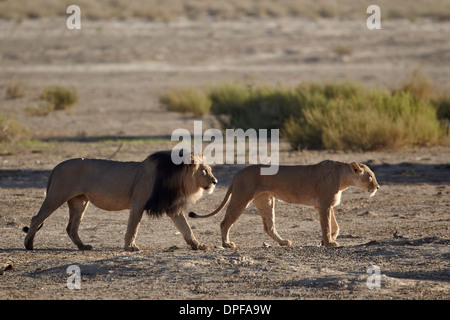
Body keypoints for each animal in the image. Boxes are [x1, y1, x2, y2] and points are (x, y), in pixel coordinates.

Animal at [24, 151, 218, 252]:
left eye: (209, 170)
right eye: (205, 171)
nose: (215, 181)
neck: (177, 178)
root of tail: (56, 166)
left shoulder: (172, 207)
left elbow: (186, 227)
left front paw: (198, 245)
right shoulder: (138, 203)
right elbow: (133, 227)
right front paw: (130, 247)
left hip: (79, 202)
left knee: (71, 227)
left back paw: (83, 246)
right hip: (56, 196)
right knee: (37, 218)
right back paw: (29, 244)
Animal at [190, 161, 380, 249]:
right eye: (370, 176)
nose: (377, 187)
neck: (343, 178)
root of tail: (237, 173)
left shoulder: (325, 205)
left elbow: (335, 226)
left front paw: (328, 240)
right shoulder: (324, 203)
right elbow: (326, 225)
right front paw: (329, 242)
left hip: (266, 200)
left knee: (269, 227)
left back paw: (283, 242)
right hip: (241, 197)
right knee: (225, 222)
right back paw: (227, 244)